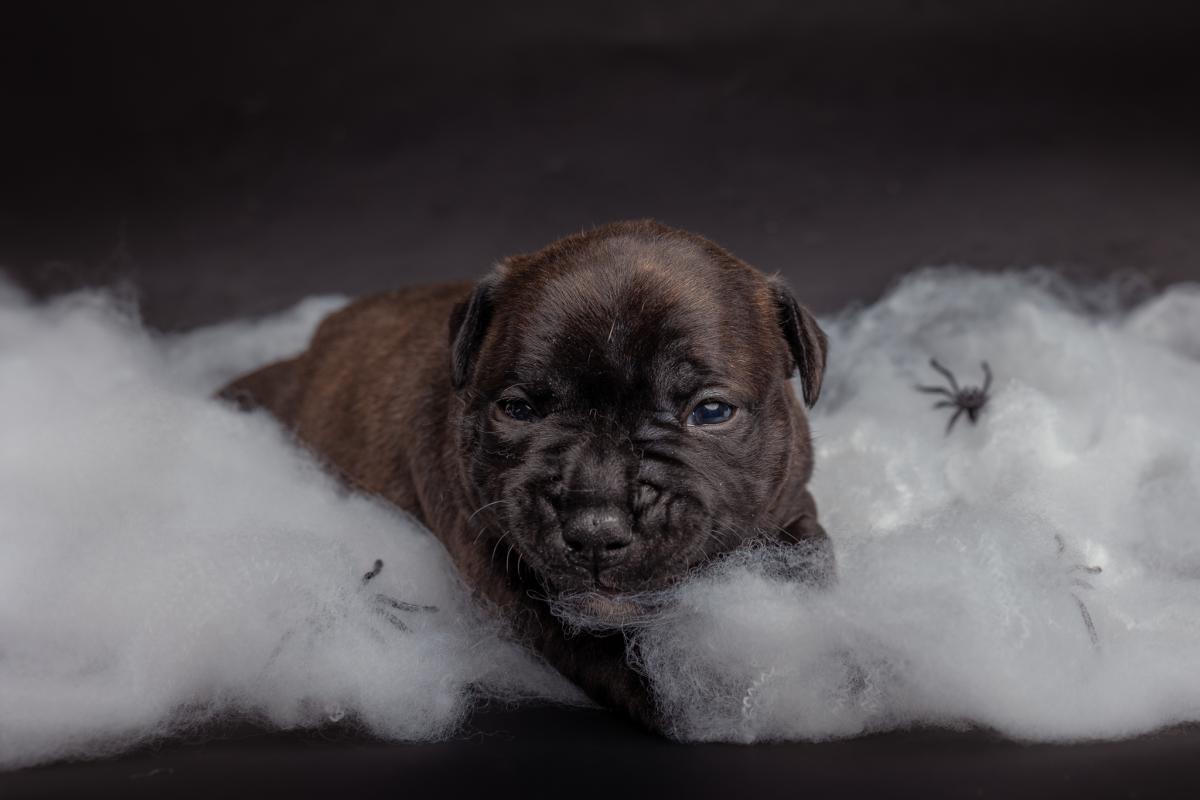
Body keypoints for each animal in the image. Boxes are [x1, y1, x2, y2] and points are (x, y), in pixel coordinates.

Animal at [219, 220, 832, 730]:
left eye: (710, 412)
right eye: (518, 410)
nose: (596, 528)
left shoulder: (792, 498)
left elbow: (814, 553)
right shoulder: (505, 570)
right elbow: (610, 652)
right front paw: (703, 697)